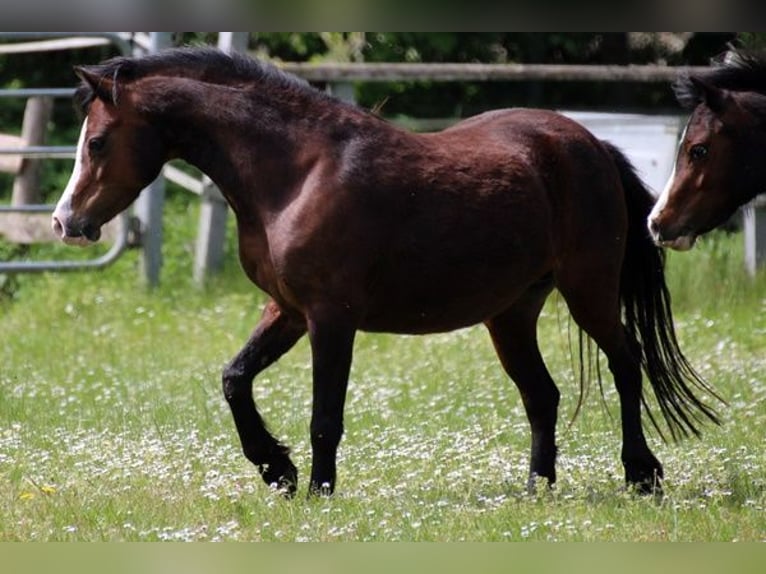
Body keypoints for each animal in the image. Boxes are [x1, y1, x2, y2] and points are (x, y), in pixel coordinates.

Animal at [51, 48, 724, 500]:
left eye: (99, 141)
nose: (65, 221)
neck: (297, 172)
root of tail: (589, 144)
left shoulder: (331, 320)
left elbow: (325, 416)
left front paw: (317, 492)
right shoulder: (288, 311)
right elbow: (234, 379)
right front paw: (277, 470)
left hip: (588, 291)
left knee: (627, 364)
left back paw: (641, 474)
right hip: (510, 314)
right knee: (543, 394)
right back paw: (537, 488)